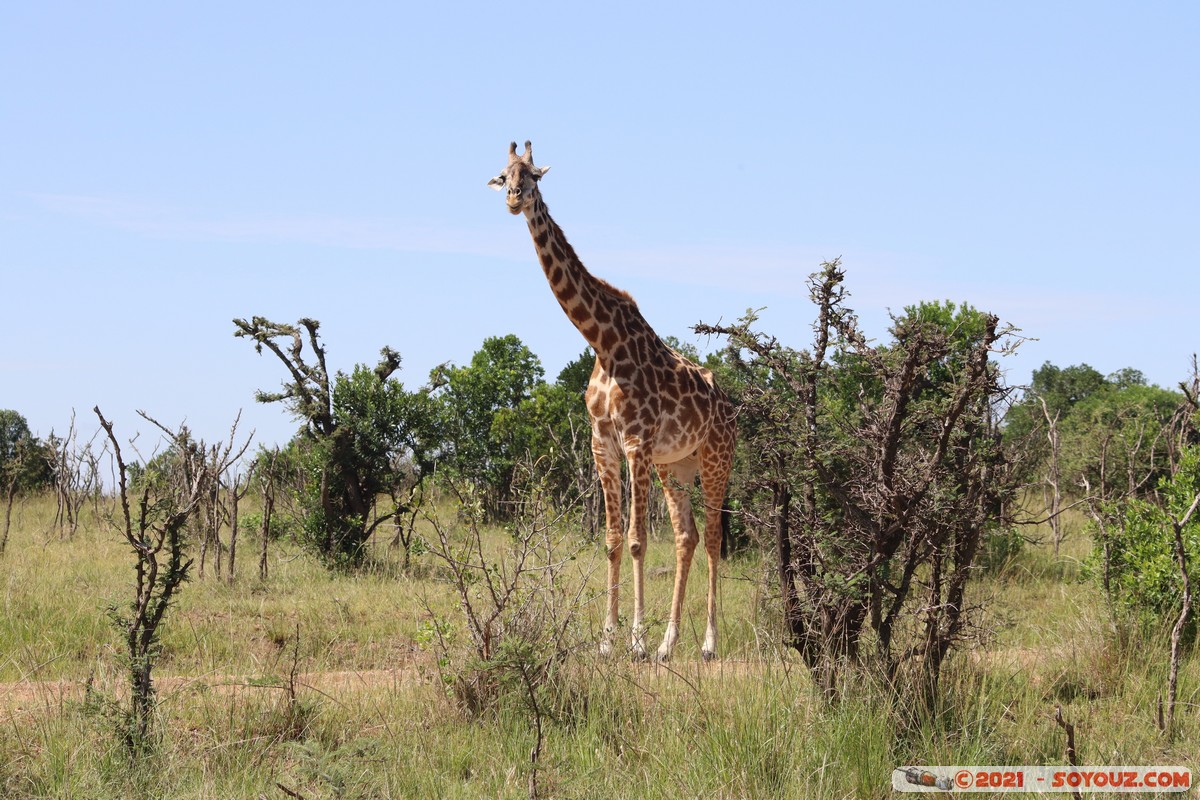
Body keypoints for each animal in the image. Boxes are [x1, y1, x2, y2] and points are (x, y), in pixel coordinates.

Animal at [488, 141, 737, 661]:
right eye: (503, 175)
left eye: (533, 176)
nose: (515, 200)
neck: (601, 342)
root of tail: (732, 405)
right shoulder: (602, 443)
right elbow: (612, 540)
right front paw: (609, 639)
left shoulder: (637, 440)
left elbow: (639, 540)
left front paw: (636, 641)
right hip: (675, 464)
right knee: (686, 536)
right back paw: (669, 644)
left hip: (715, 456)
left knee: (714, 537)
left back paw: (706, 643)